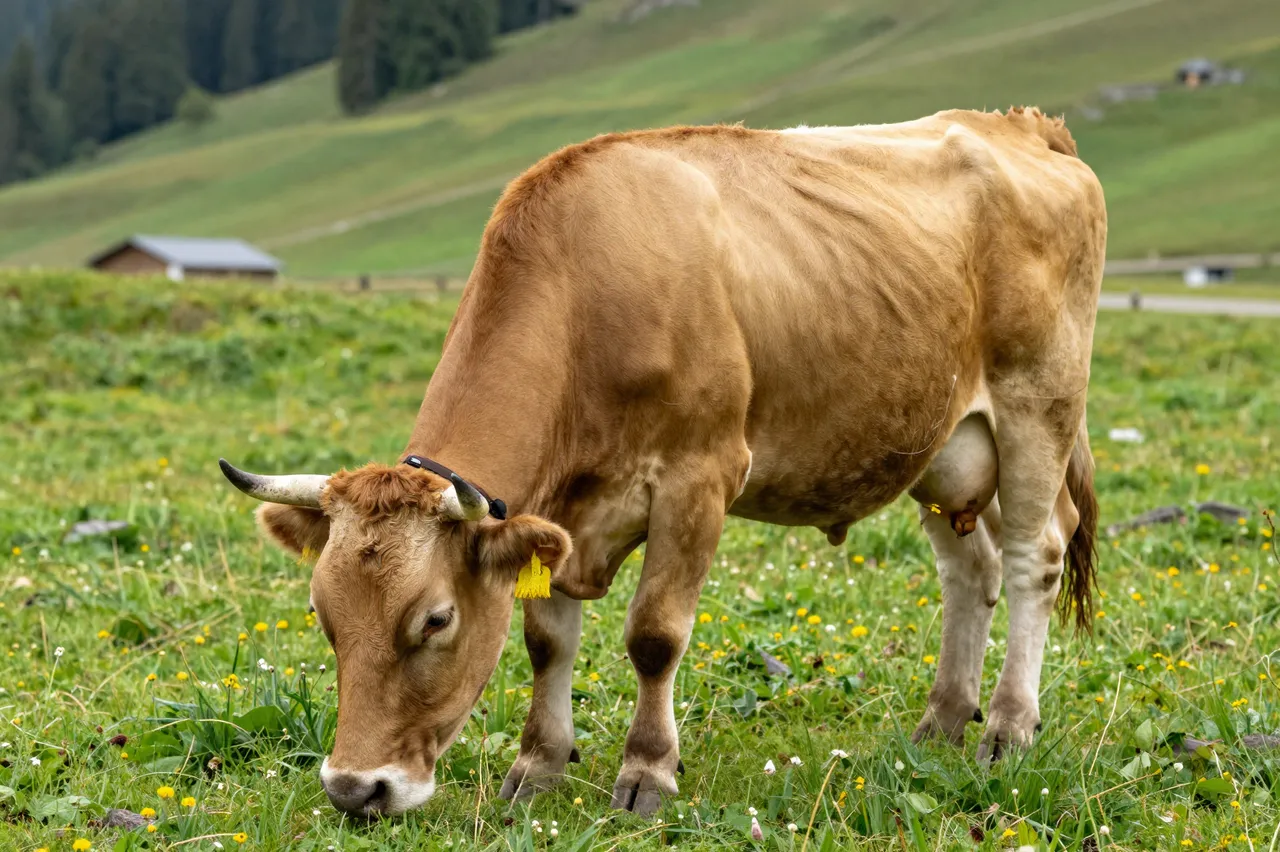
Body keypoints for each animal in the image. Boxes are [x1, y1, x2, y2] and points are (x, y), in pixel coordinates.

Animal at [219, 106, 1104, 818]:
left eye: (435, 619)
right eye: (324, 616)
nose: (355, 789)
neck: (587, 294)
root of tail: (1021, 125)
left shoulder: (698, 477)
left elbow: (654, 637)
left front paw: (647, 773)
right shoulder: (562, 514)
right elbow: (546, 639)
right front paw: (537, 767)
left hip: (1037, 404)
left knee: (1033, 555)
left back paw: (1006, 728)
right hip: (938, 443)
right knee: (970, 570)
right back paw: (942, 721)